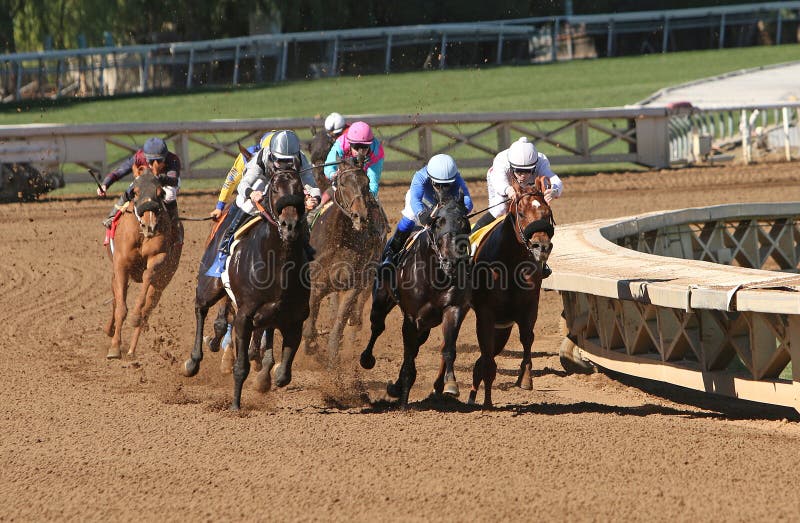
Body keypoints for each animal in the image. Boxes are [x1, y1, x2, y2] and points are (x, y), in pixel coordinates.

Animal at [104, 172, 182, 360]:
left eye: (160, 193)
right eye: (136, 192)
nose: (149, 225)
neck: (140, 234)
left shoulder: (158, 257)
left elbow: (148, 276)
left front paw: (135, 316)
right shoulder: (121, 265)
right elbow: (120, 307)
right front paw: (114, 348)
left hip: (162, 283)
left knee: (147, 309)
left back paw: (132, 349)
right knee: (116, 300)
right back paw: (111, 331)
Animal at [186, 170, 310, 412]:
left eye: (300, 188)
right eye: (274, 189)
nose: (289, 225)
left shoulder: (295, 319)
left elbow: (284, 374)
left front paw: (266, 377)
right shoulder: (245, 316)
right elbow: (241, 366)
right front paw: (235, 405)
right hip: (209, 285)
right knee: (200, 308)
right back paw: (193, 361)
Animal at [302, 160, 386, 362]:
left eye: (366, 183)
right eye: (342, 183)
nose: (359, 216)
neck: (340, 240)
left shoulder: (354, 285)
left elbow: (342, 318)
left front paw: (333, 354)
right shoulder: (316, 283)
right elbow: (311, 316)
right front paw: (311, 346)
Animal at [360, 192, 472, 410]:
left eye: (464, 222)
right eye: (439, 223)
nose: (453, 261)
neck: (435, 275)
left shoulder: (452, 309)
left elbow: (448, 349)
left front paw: (450, 384)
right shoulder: (411, 318)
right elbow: (409, 356)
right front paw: (403, 402)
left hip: (426, 324)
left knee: (417, 344)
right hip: (381, 300)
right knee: (377, 327)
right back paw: (367, 359)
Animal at [468, 176, 556, 410]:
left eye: (546, 212)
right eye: (522, 213)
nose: (541, 246)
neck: (509, 264)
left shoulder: (528, 307)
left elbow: (527, 337)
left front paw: (525, 378)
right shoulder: (486, 315)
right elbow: (488, 361)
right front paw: (487, 404)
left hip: (503, 327)